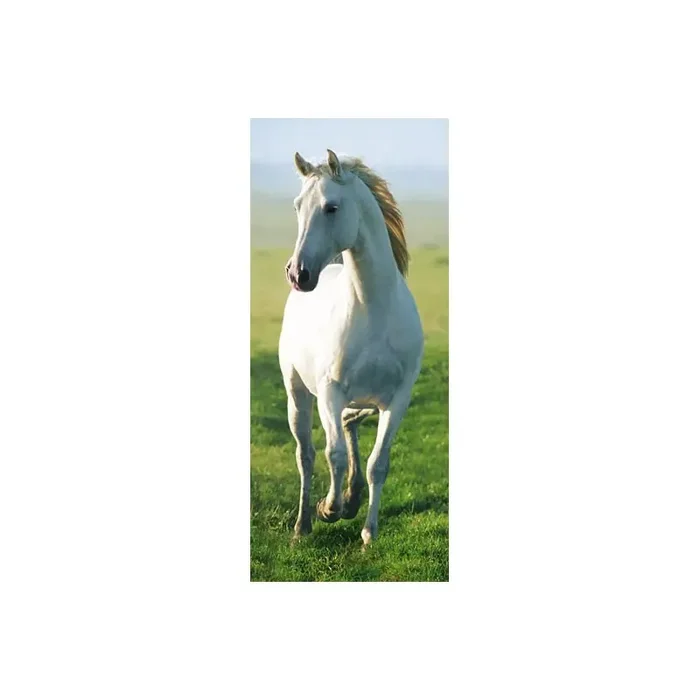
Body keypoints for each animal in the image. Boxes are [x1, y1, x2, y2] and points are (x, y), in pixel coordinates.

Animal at [278, 149, 424, 545]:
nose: (298, 274)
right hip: (297, 393)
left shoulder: (397, 399)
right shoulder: (330, 392)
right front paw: (330, 508)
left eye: (331, 207)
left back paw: (353, 496)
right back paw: (303, 525)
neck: (373, 310)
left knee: (349, 425)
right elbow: (335, 455)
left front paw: (369, 532)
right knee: (307, 454)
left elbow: (378, 464)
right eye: (297, 206)